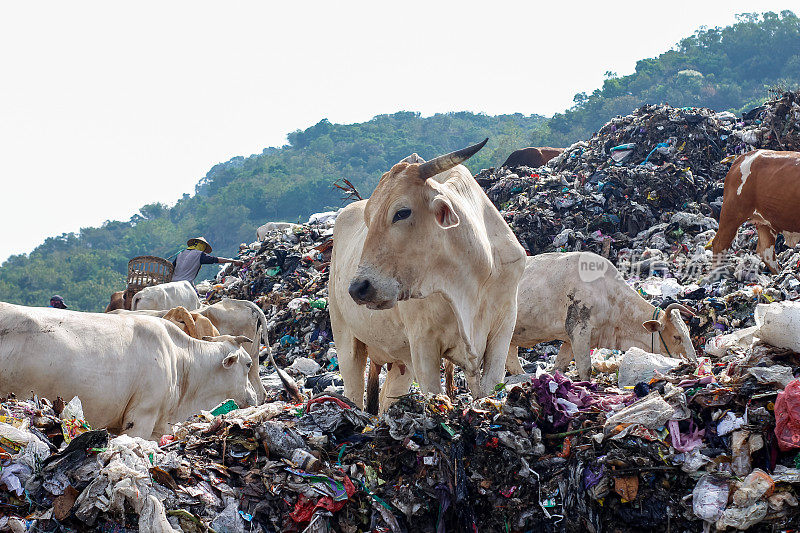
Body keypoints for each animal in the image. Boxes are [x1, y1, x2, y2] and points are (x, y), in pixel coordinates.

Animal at [328, 138, 528, 412]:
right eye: (368, 219)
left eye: (402, 212)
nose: (359, 288)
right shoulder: (423, 342)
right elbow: (434, 394)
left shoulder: (503, 325)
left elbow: (488, 388)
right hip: (346, 340)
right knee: (353, 392)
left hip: (401, 362)